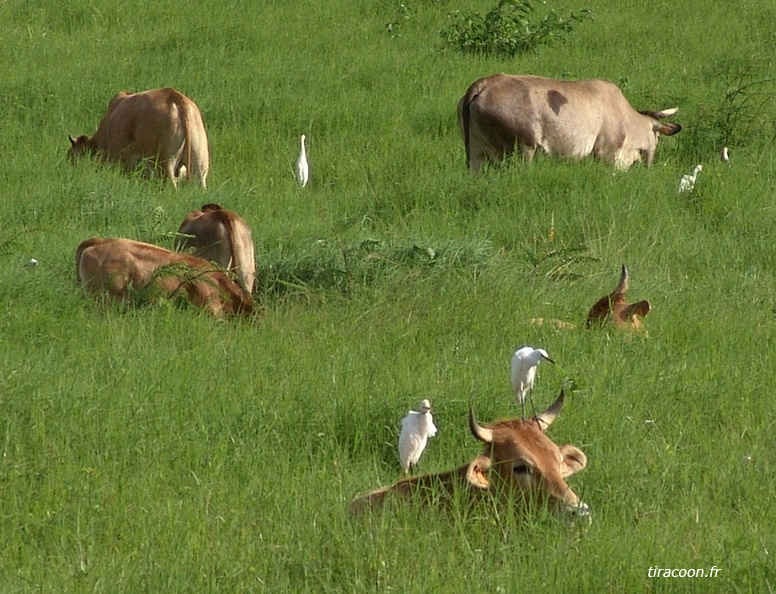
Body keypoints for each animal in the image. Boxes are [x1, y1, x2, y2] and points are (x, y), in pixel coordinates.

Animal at [458, 73, 684, 171]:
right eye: (657, 136)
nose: (649, 165)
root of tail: (485, 83)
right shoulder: (606, 154)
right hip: (523, 149)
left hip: (476, 154)